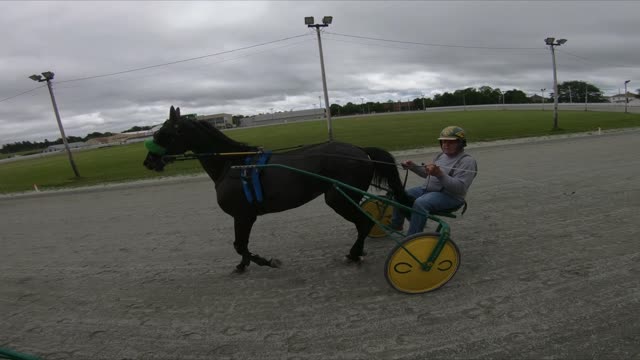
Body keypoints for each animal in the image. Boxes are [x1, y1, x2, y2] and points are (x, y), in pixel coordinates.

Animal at [144, 106, 410, 272]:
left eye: (164, 133)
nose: (148, 161)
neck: (233, 164)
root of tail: (360, 150)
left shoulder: (244, 215)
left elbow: (240, 245)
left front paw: (267, 261)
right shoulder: (244, 216)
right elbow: (240, 245)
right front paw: (243, 265)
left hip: (339, 198)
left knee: (363, 223)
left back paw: (354, 253)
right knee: (364, 223)